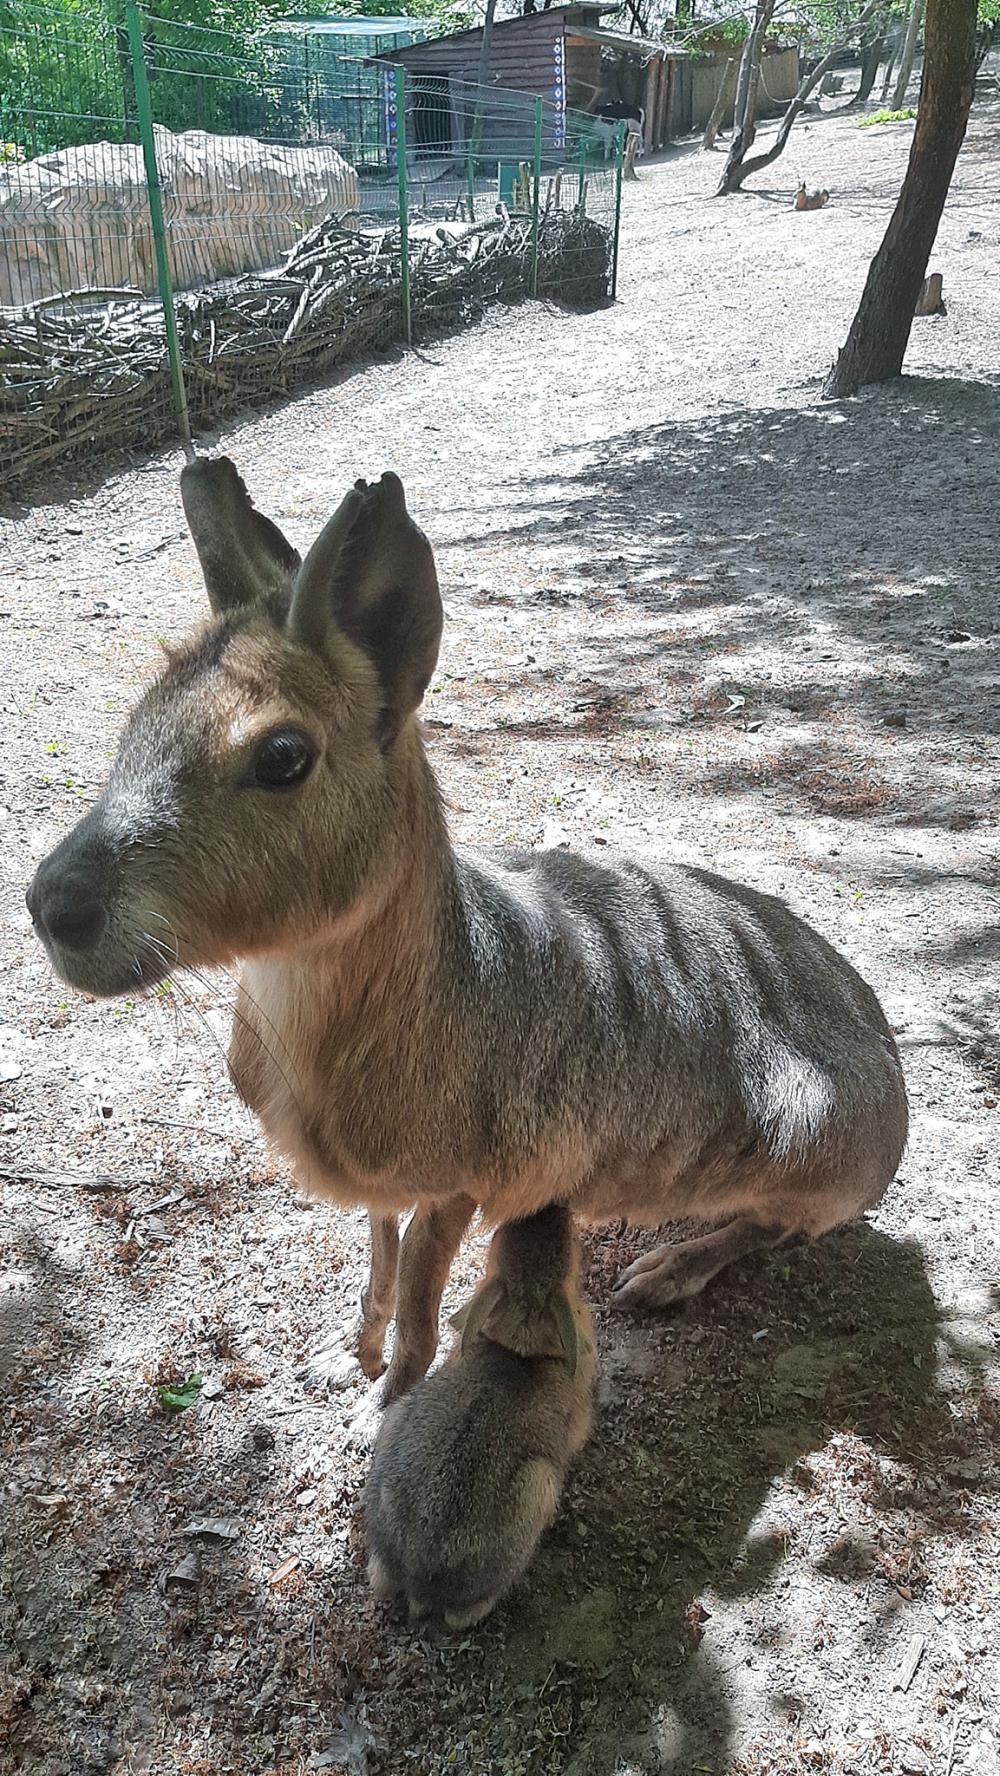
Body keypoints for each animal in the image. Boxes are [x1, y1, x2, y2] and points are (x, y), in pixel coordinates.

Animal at [27, 459, 908, 1434]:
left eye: (284, 755)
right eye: (134, 724)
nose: (51, 907)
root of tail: (889, 1054)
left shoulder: (457, 1184)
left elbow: (419, 1298)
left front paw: (384, 1406)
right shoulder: (381, 1185)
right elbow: (376, 1270)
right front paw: (344, 1361)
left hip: (806, 1141)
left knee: (780, 1226)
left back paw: (664, 1272)